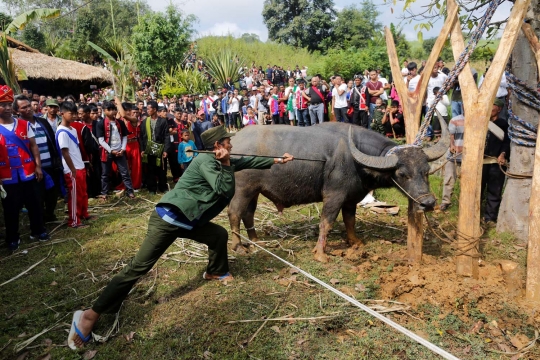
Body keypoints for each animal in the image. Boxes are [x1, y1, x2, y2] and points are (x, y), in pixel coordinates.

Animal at [227, 118, 448, 262]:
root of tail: (233, 142)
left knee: (248, 214)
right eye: (402, 174)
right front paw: (320, 254)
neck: (356, 161)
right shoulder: (334, 195)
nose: (428, 203)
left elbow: (350, 220)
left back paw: (256, 241)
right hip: (243, 189)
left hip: (255, 191)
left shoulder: (351, 198)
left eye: (426, 170)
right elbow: (327, 222)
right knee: (234, 213)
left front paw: (355, 242)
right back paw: (238, 246)